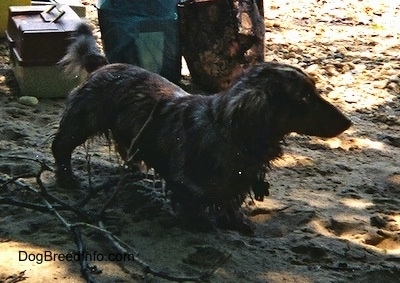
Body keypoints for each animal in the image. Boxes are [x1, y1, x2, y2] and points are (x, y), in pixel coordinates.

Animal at [52, 22, 350, 233]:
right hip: (81, 121)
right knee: (61, 148)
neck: (231, 134)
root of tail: (103, 65)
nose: (348, 123)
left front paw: (236, 221)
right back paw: (66, 178)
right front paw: (202, 223)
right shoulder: (184, 182)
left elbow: (231, 200)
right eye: (303, 98)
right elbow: (194, 202)